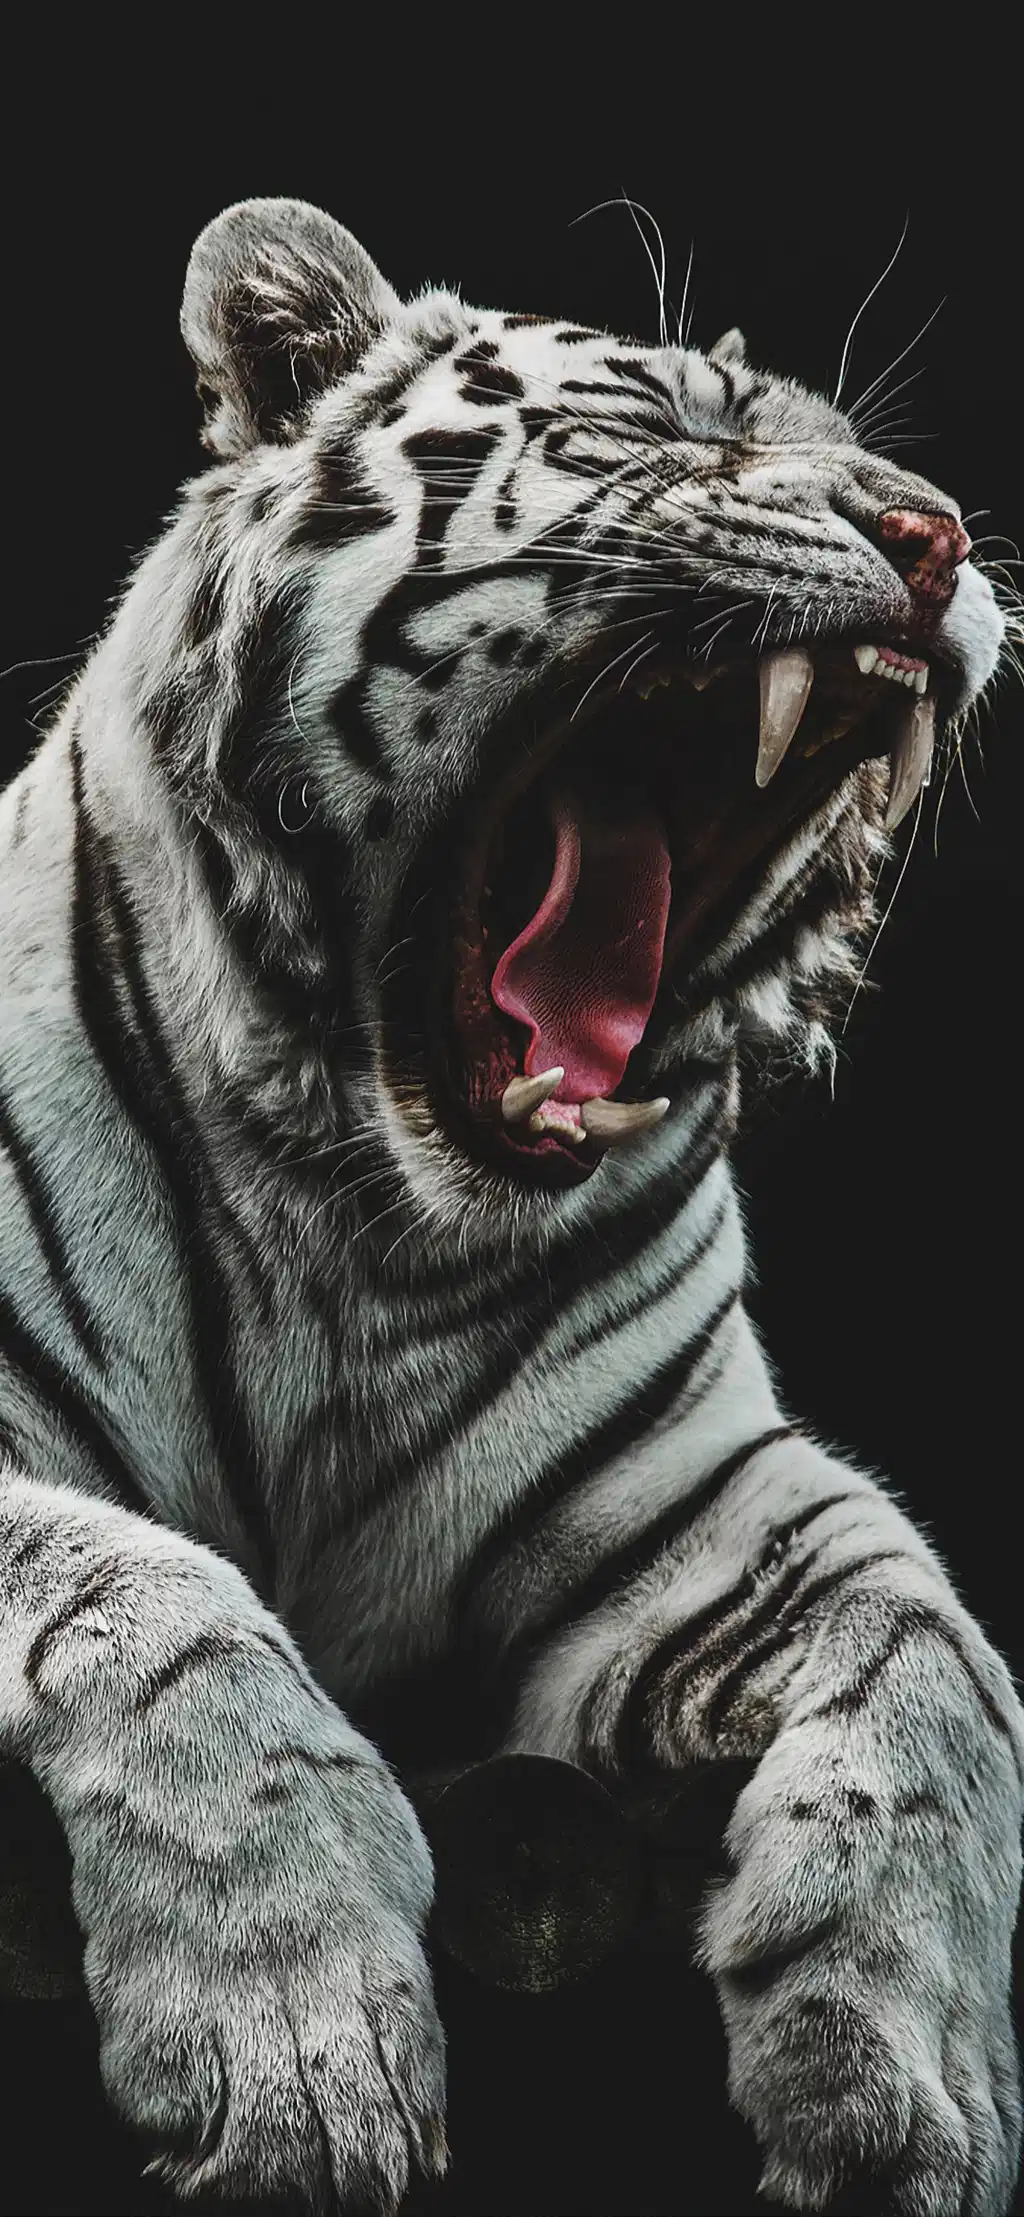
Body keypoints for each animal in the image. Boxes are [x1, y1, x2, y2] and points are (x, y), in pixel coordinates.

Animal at [0, 193, 1020, 2217]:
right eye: (652, 425)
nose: (935, 535)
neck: (354, 1219)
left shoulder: (688, 1505)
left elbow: (944, 1667)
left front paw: (902, 2077)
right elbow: (166, 1613)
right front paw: (294, 2045)